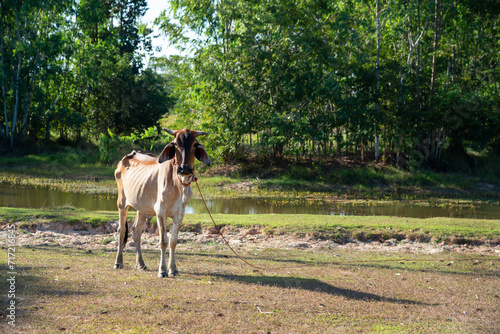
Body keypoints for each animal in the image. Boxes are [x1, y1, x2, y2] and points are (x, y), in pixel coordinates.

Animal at [114, 128, 210, 276]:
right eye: (175, 144)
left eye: (194, 144)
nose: (185, 169)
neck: (178, 183)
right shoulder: (160, 211)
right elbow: (163, 241)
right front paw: (163, 270)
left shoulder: (180, 213)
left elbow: (173, 241)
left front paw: (173, 269)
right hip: (122, 202)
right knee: (122, 230)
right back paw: (118, 262)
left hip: (141, 207)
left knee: (136, 231)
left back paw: (141, 264)